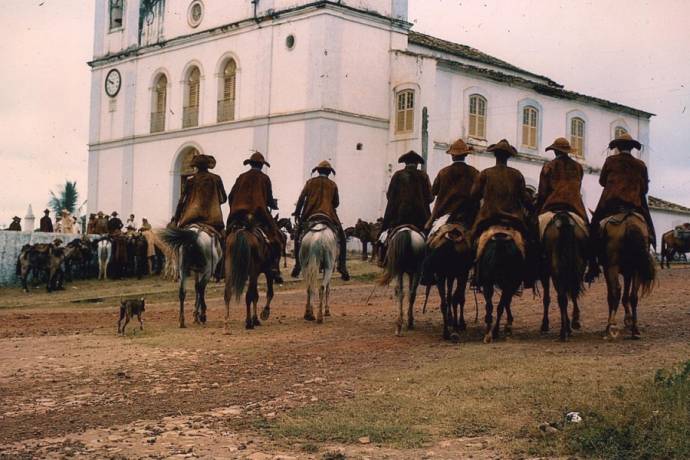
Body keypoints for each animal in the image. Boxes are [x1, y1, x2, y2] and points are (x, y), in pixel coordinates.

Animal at [536, 212, 584, 342]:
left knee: (562, 298)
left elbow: (546, 298)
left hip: (556, 273)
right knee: (572, 294)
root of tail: (564, 219)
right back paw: (573, 324)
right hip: (577, 268)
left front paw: (545, 325)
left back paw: (563, 332)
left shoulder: (545, 274)